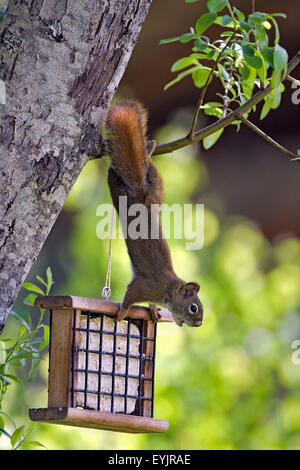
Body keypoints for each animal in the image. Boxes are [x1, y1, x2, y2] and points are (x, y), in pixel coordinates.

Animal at [103, 100, 204, 326]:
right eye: (193, 307)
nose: (199, 323)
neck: (169, 290)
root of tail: (139, 190)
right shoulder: (144, 287)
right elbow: (129, 298)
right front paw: (121, 314)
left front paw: (152, 310)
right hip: (117, 191)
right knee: (113, 174)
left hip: (157, 186)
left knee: (146, 161)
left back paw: (150, 147)